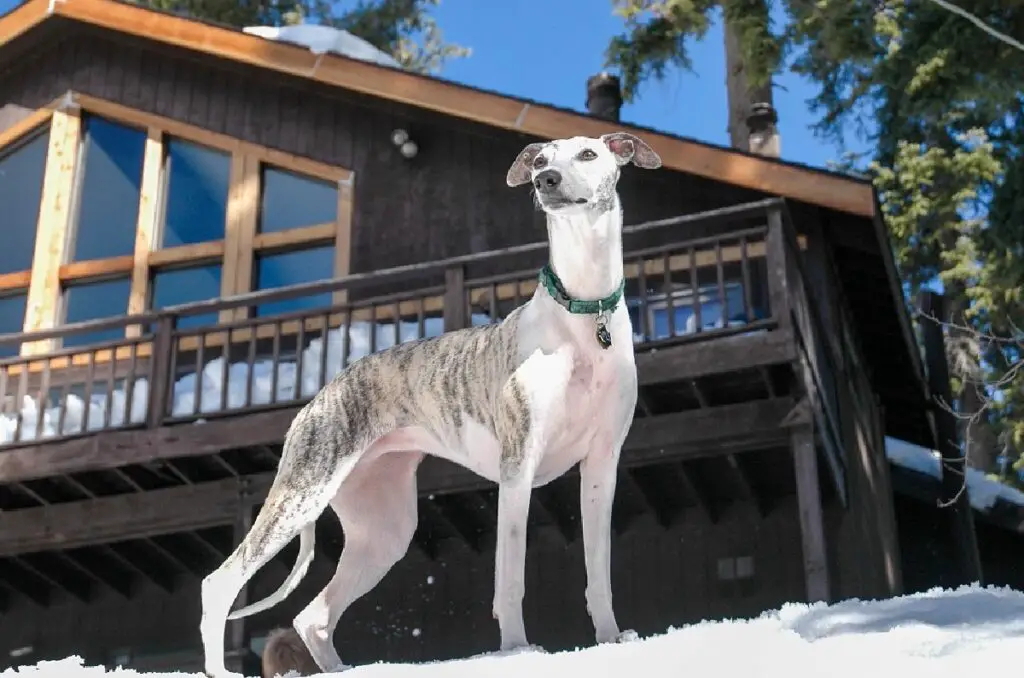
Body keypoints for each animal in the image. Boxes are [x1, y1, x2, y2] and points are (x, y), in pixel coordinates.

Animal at [199, 133, 663, 678]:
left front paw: (611, 640)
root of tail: (316, 401)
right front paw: (518, 651)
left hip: (385, 529)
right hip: (301, 495)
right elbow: (510, 578)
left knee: (314, 617)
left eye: (589, 154)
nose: (544, 181)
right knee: (220, 582)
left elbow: (599, 569)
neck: (584, 316)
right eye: (541, 160)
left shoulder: (602, 464)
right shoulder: (518, 467)